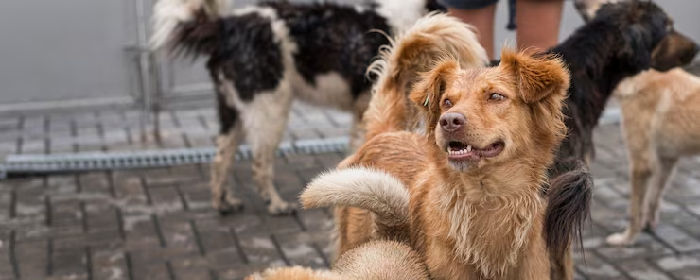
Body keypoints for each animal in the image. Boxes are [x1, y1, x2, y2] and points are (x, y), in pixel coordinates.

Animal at [152, 0, 478, 214]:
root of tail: (225, 27)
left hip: (232, 110)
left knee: (221, 157)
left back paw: (223, 203)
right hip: (270, 108)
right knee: (259, 162)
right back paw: (276, 204)